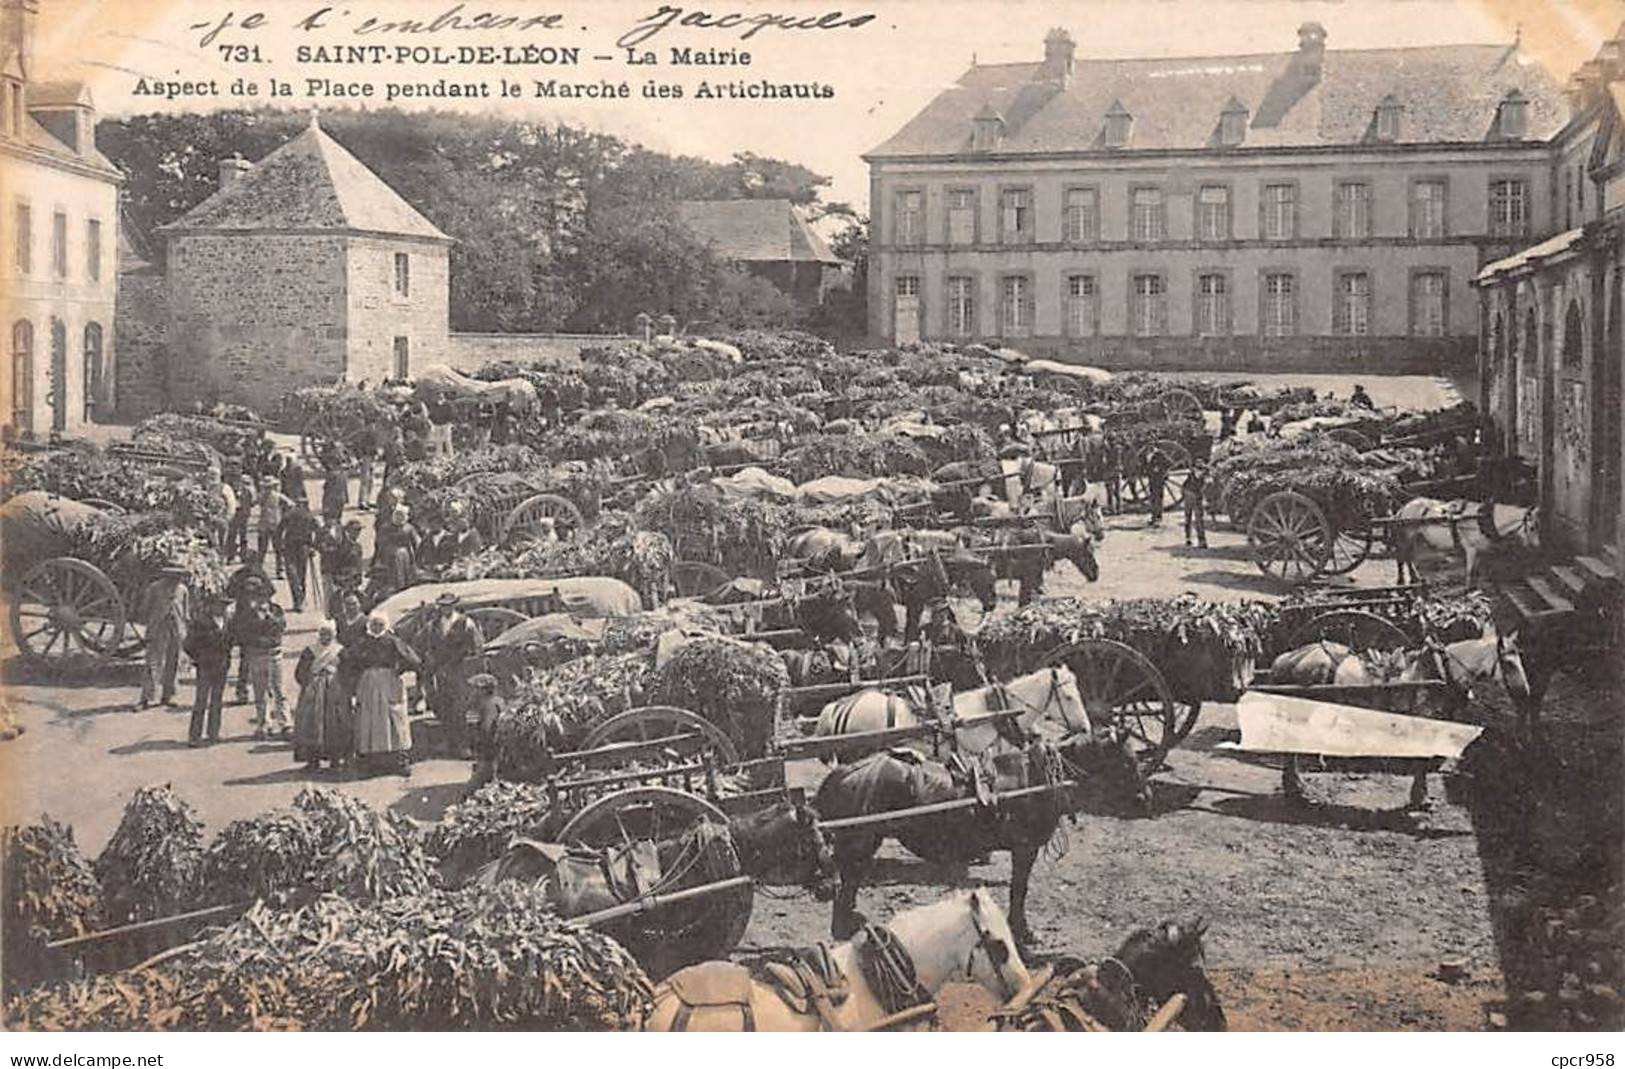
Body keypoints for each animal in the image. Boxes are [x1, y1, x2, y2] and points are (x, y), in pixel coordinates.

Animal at [812, 734, 1144, 942]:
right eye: (1129, 762)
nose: (1146, 797)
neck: (1038, 778)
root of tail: (847, 771)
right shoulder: (1025, 848)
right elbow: (1019, 890)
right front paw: (1022, 931)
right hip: (861, 841)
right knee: (848, 881)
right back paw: (845, 927)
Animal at [1391, 497, 1540, 581]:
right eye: (1532, 528)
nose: (1537, 547)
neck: (1482, 518)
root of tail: (1405, 507)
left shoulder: (1480, 550)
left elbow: (1476, 571)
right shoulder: (1471, 549)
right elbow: (1469, 572)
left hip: (1414, 537)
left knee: (1409, 556)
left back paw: (1415, 577)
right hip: (1407, 535)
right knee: (1402, 556)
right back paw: (1402, 579)